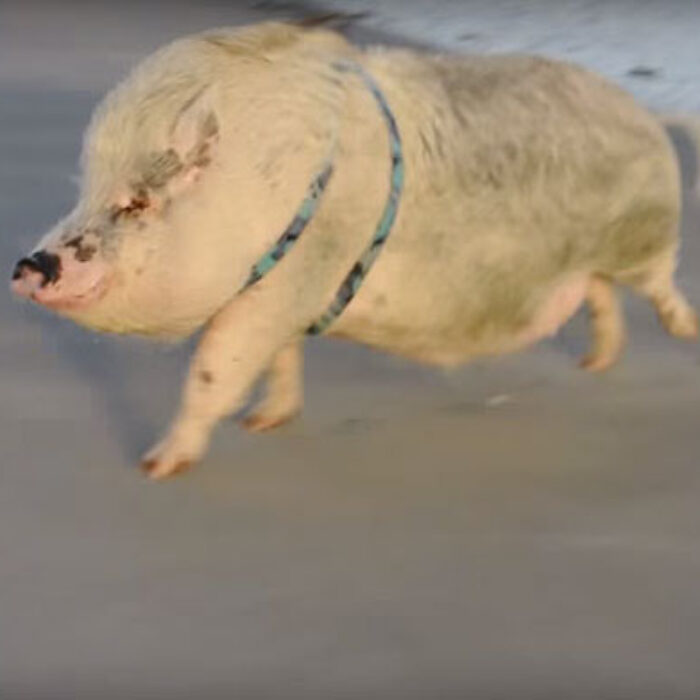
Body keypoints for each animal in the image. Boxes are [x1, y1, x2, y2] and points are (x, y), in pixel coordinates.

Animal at [11, 21, 699, 480]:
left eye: (136, 202)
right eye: (84, 188)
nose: (25, 265)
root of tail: (649, 118)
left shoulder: (283, 285)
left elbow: (212, 370)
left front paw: (157, 465)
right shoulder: (284, 296)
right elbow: (281, 361)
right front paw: (263, 423)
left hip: (644, 238)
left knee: (658, 287)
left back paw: (683, 333)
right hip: (595, 262)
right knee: (601, 297)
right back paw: (594, 366)